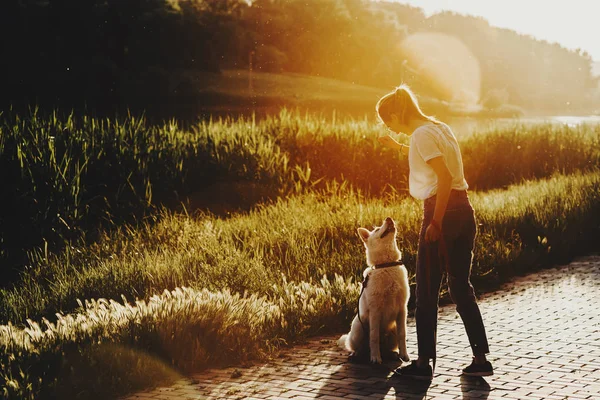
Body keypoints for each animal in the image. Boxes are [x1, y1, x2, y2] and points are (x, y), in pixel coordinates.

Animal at [340, 217, 410, 364]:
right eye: (377, 229)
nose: (389, 218)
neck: (387, 265)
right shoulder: (375, 311)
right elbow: (374, 336)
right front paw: (375, 358)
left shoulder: (402, 309)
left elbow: (402, 334)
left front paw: (404, 355)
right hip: (359, 327)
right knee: (360, 347)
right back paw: (357, 354)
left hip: (392, 330)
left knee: (387, 347)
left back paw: (392, 354)